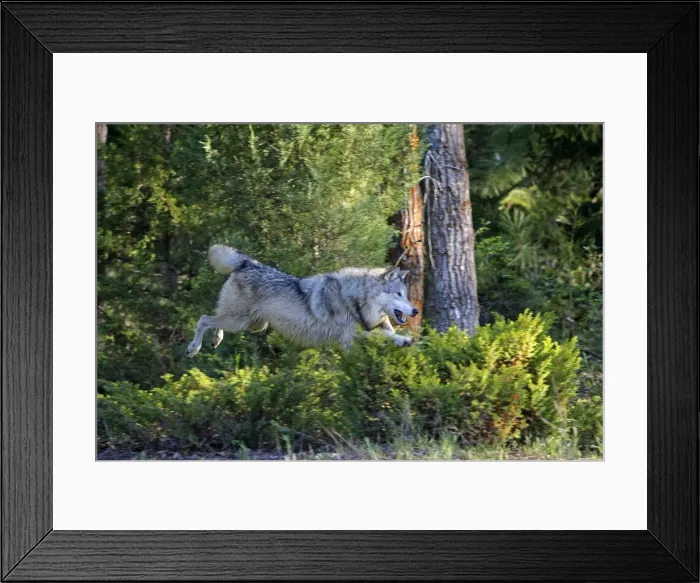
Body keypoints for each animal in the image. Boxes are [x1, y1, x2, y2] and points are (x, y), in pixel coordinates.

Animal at [186, 244, 419, 357]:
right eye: (398, 294)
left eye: (406, 295)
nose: (416, 311)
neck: (356, 300)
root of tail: (247, 263)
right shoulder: (350, 336)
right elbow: (383, 336)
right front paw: (403, 340)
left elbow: (389, 333)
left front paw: (403, 340)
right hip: (240, 321)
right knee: (204, 319)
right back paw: (194, 348)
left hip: (252, 325)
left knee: (214, 319)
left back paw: (216, 339)